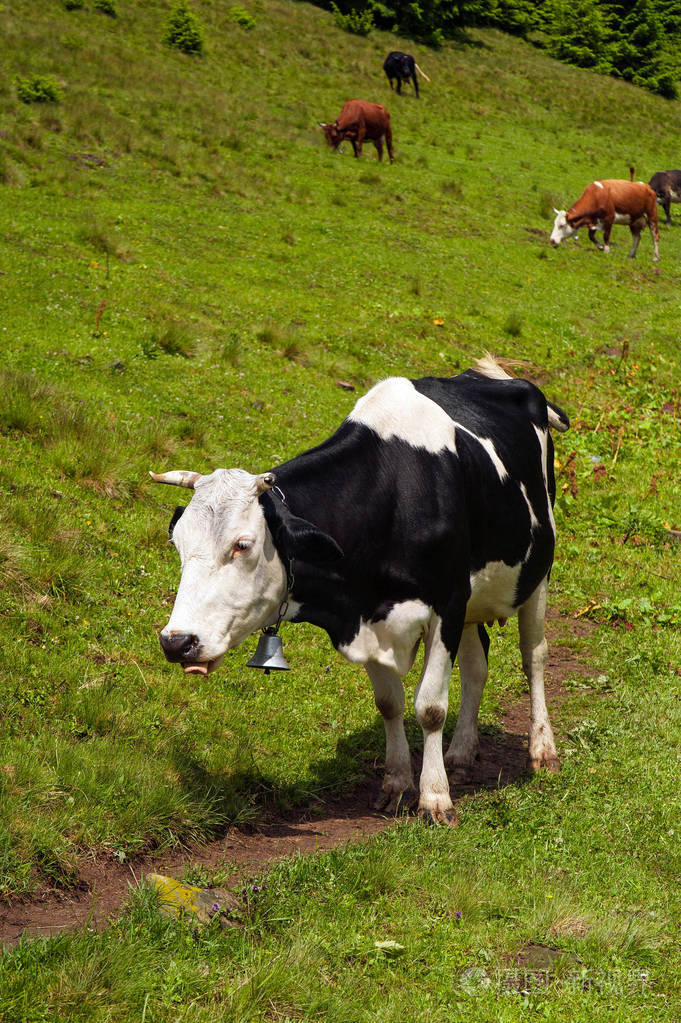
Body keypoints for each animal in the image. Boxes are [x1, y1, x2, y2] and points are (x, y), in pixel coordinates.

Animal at [152, 358, 568, 822]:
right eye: (177, 543)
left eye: (242, 545)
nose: (177, 641)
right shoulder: (371, 618)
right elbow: (390, 703)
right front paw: (397, 784)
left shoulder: (447, 603)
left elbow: (430, 706)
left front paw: (434, 798)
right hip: (477, 596)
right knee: (477, 666)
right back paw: (461, 754)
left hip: (536, 573)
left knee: (533, 655)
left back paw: (542, 750)